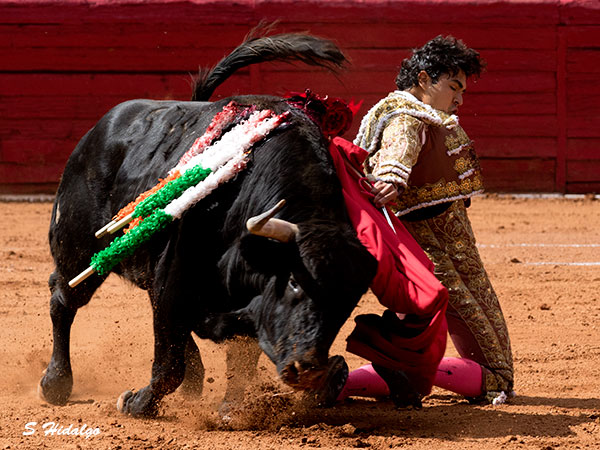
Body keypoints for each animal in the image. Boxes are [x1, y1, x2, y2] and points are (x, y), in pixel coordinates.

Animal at [38, 32, 376, 418]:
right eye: (294, 281)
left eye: (348, 303)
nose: (312, 371)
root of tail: (96, 133)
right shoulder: (173, 282)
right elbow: (168, 364)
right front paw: (136, 403)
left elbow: (238, 359)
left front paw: (232, 407)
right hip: (79, 250)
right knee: (63, 298)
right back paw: (55, 383)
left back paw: (195, 381)